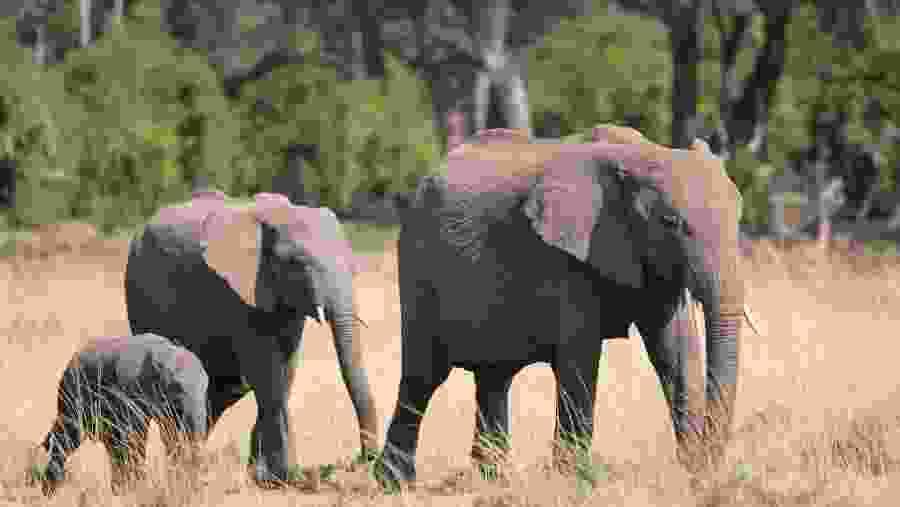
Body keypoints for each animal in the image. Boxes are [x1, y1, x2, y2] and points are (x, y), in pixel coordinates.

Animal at [38, 333, 208, 496]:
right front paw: (140, 488)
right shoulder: (131, 387)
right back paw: (50, 491)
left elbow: (168, 434)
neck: (165, 352)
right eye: (177, 388)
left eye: (206, 388)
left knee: (111, 445)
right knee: (69, 436)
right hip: (73, 390)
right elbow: (135, 435)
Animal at [124, 189, 379, 483]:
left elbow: (285, 370)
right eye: (299, 265)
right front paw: (284, 477)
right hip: (140, 295)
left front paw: (263, 476)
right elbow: (267, 371)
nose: (359, 460)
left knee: (220, 390)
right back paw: (181, 469)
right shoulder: (238, 294)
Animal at [378, 125, 753, 485]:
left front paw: (691, 472)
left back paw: (493, 482)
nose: (704, 470)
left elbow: (676, 353)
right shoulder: (567, 259)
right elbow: (580, 359)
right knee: (422, 379)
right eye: (671, 223)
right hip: (418, 268)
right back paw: (395, 483)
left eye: (738, 216)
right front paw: (572, 481)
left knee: (493, 378)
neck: (641, 156)